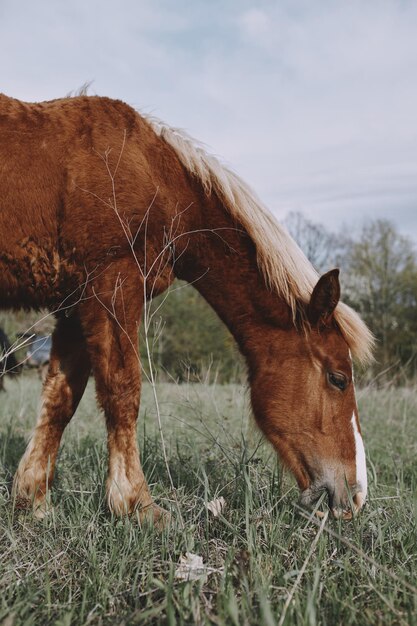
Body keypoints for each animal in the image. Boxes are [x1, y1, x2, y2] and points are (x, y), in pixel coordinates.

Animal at [0, 92, 370, 520]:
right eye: (338, 379)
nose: (356, 494)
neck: (157, 178)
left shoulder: (74, 305)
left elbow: (61, 396)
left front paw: (33, 500)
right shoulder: (112, 288)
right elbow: (123, 391)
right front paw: (136, 504)